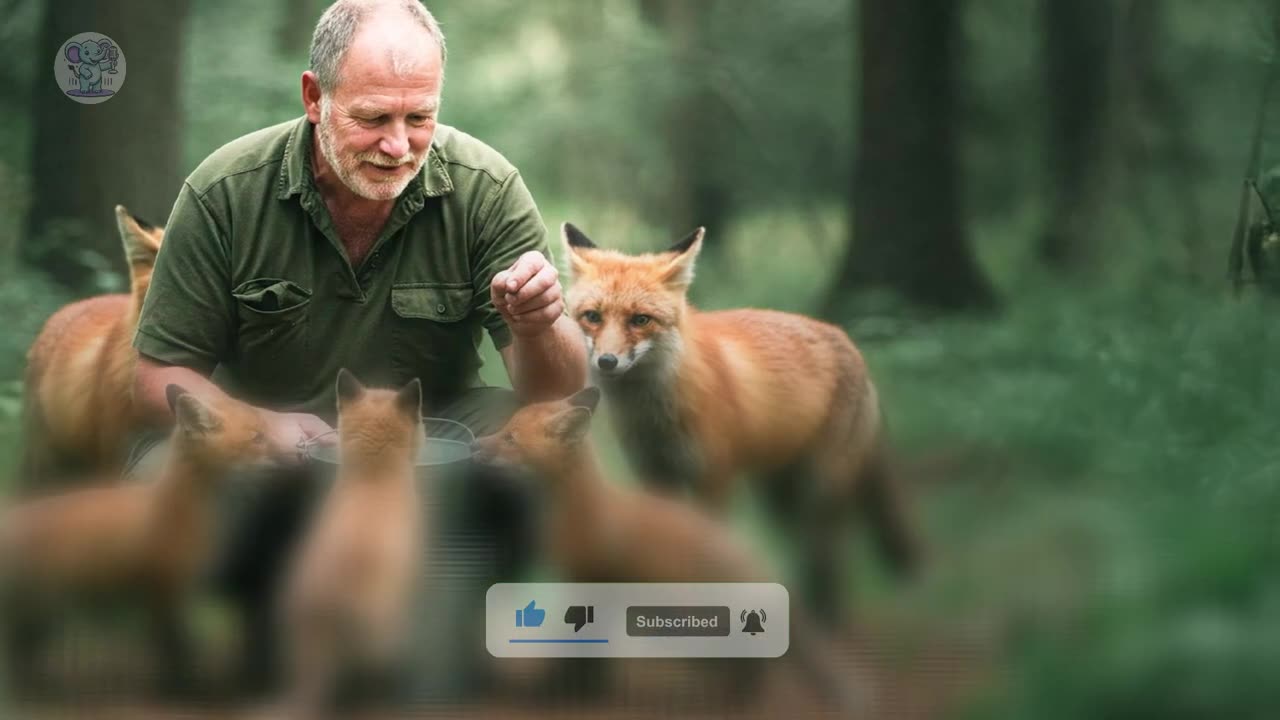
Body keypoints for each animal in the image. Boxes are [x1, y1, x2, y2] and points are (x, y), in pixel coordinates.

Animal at [0, 385, 273, 696]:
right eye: (257, 437)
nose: (284, 456)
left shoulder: (166, 595)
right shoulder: (166, 590)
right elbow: (177, 652)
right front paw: (186, 690)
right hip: (43, 608)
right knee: (18, 656)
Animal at [470, 388, 865, 712]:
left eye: (510, 438)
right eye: (505, 427)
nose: (474, 445)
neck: (586, 514)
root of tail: (761, 562)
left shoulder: (592, 583)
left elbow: (583, 655)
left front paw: (563, 692)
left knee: (754, 667)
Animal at [560, 223, 921, 620]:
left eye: (640, 320)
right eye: (592, 316)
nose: (607, 361)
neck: (655, 417)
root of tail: (849, 341)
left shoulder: (714, 475)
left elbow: (707, 546)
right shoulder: (653, 473)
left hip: (821, 489)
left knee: (826, 557)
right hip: (779, 494)